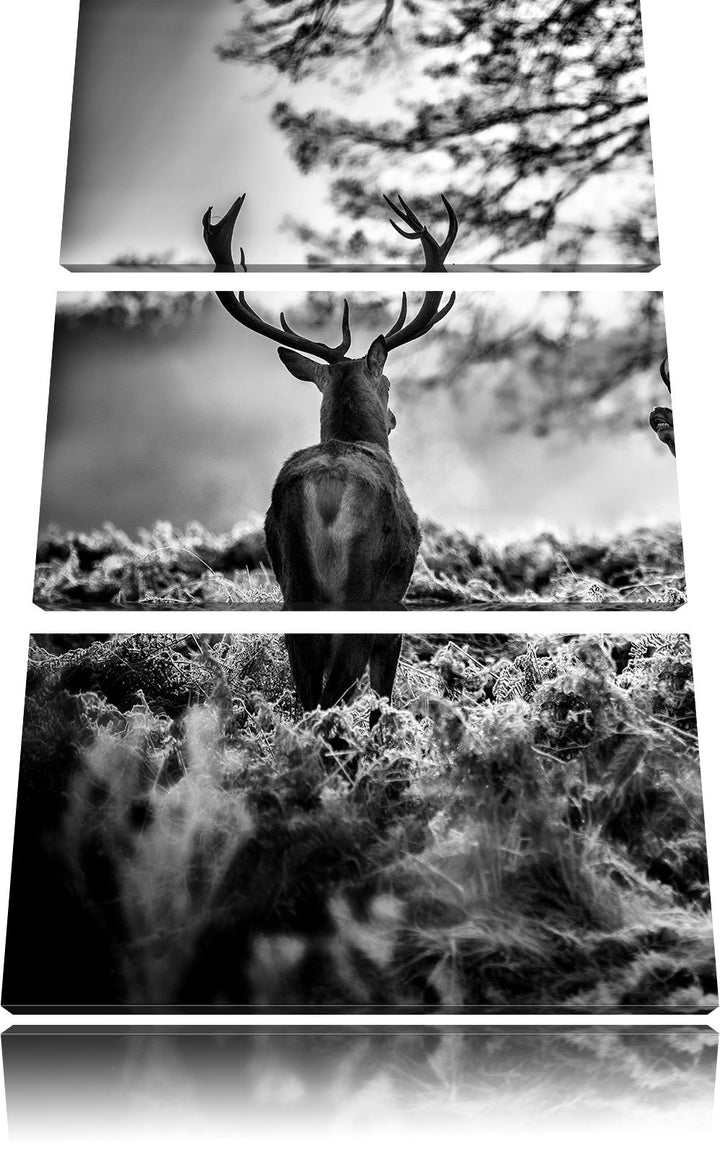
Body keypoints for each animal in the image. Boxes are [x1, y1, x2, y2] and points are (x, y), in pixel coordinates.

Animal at [202, 192, 458, 722]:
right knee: (334, 689)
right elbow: (382, 697)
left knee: (306, 692)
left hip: (294, 585)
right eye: (387, 383)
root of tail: (326, 491)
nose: (393, 418)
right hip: (364, 587)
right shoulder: (395, 609)